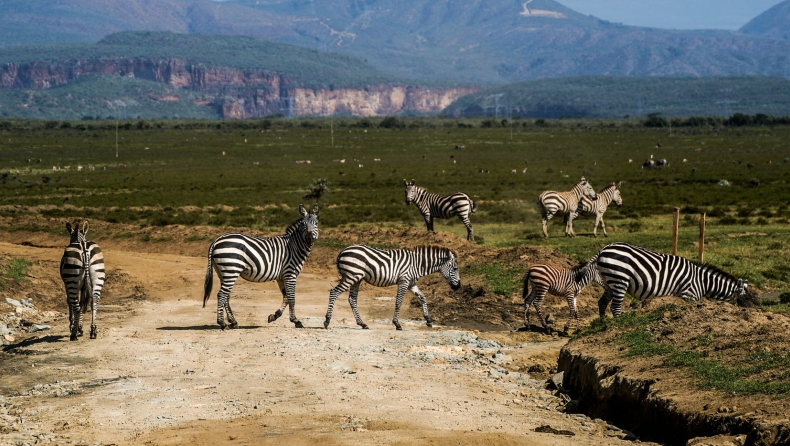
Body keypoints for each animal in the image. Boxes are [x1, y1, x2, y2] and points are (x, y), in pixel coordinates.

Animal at [326, 246, 464, 330]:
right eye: (455, 268)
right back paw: (327, 321)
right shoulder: (404, 281)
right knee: (334, 292)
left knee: (352, 299)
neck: (418, 264)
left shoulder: (411, 283)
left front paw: (428, 320)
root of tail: (342, 251)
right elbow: (399, 302)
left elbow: (423, 297)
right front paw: (397, 324)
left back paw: (362, 323)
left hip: (357, 278)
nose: (458, 287)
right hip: (352, 275)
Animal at [596, 242, 752, 318]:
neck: (703, 282)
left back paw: (603, 324)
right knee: (615, 306)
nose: (753, 312)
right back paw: (618, 323)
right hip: (620, 279)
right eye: (746, 299)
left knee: (602, 302)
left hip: (609, 281)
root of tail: (603, 249)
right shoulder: (689, 294)